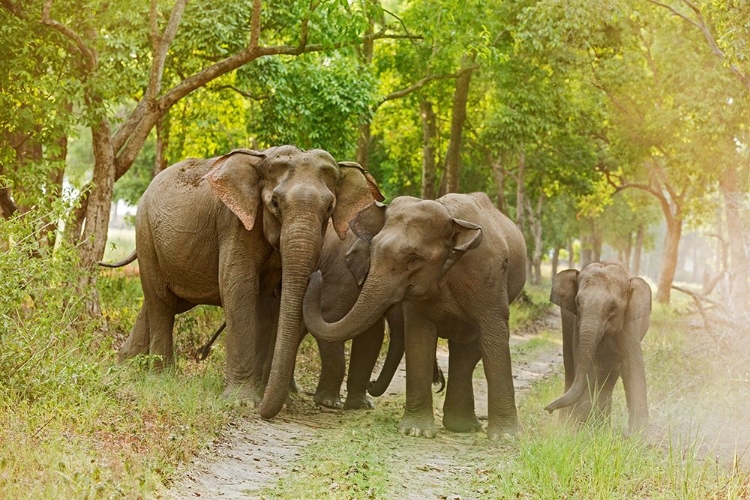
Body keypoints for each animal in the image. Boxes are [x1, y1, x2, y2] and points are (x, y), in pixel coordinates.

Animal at [103, 146, 384, 418]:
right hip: (146, 233)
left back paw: (125, 364)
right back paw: (160, 377)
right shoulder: (234, 224)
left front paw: (266, 399)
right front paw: (244, 402)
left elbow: (269, 305)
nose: (317, 276)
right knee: (161, 300)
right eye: (274, 203)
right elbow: (240, 288)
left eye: (329, 208)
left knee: (163, 302)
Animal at [302, 193, 524, 440]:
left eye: (414, 260)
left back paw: (465, 426)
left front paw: (506, 438)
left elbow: (494, 334)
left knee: (468, 351)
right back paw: (462, 426)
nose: (315, 275)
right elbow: (418, 338)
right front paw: (415, 431)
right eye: (373, 251)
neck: (450, 217)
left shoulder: (490, 277)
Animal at [548, 262, 652, 434]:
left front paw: (636, 436)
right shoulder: (577, 323)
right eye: (578, 302)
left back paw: (601, 426)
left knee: (610, 376)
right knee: (571, 367)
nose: (548, 409)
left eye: (613, 308)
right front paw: (579, 429)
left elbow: (632, 365)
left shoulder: (629, 323)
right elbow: (586, 367)